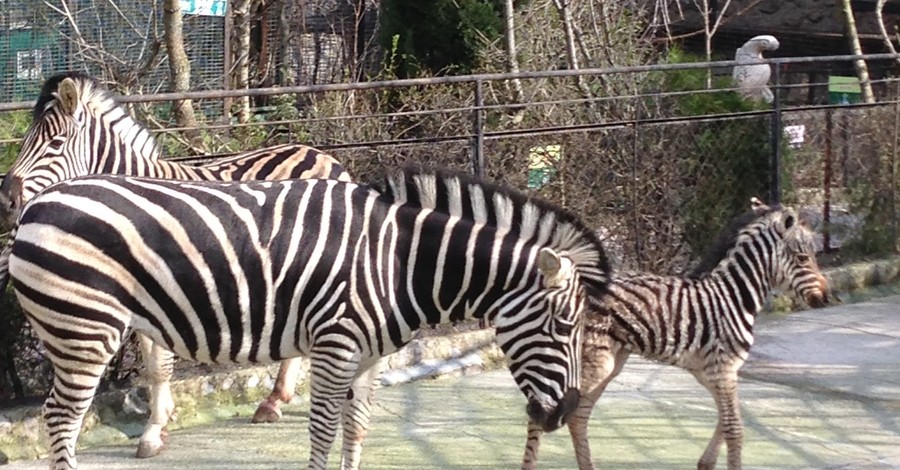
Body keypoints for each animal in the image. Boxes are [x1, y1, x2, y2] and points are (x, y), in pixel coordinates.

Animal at [0, 72, 356, 458]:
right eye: (24, 140)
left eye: (56, 143)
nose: (6, 202)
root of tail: (321, 154)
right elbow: (155, 363)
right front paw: (164, 420)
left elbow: (161, 365)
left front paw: (154, 431)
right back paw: (274, 401)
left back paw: (280, 401)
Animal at [7, 167, 612, 468]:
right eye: (564, 328)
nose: (565, 414)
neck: (398, 262)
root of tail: (40, 201)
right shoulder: (335, 345)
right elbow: (322, 431)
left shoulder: (369, 357)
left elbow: (356, 429)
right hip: (85, 329)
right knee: (61, 418)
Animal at [520, 199, 828, 470]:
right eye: (803, 258)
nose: (825, 298)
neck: (733, 297)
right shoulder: (722, 371)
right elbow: (735, 430)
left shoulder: (714, 374)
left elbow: (727, 420)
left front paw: (705, 464)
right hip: (590, 360)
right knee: (545, 412)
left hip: (611, 362)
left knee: (577, 416)